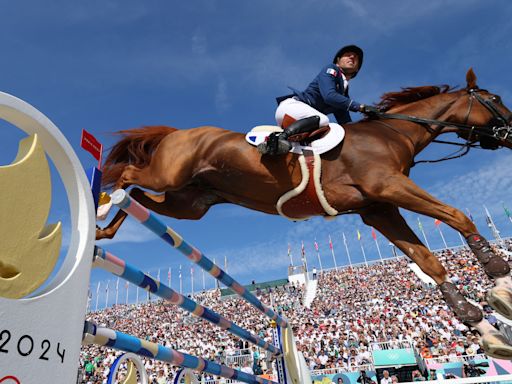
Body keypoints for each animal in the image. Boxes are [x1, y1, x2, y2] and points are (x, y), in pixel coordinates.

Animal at [98, 70, 512, 360]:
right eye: (494, 98)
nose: (510, 131)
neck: (394, 133)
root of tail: (178, 132)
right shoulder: (389, 187)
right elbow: (457, 216)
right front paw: (498, 272)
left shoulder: (379, 208)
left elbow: (425, 259)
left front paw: (474, 317)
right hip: (168, 175)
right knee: (128, 175)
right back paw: (101, 202)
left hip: (190, 205)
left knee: (137, 196)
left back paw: (105, 230)